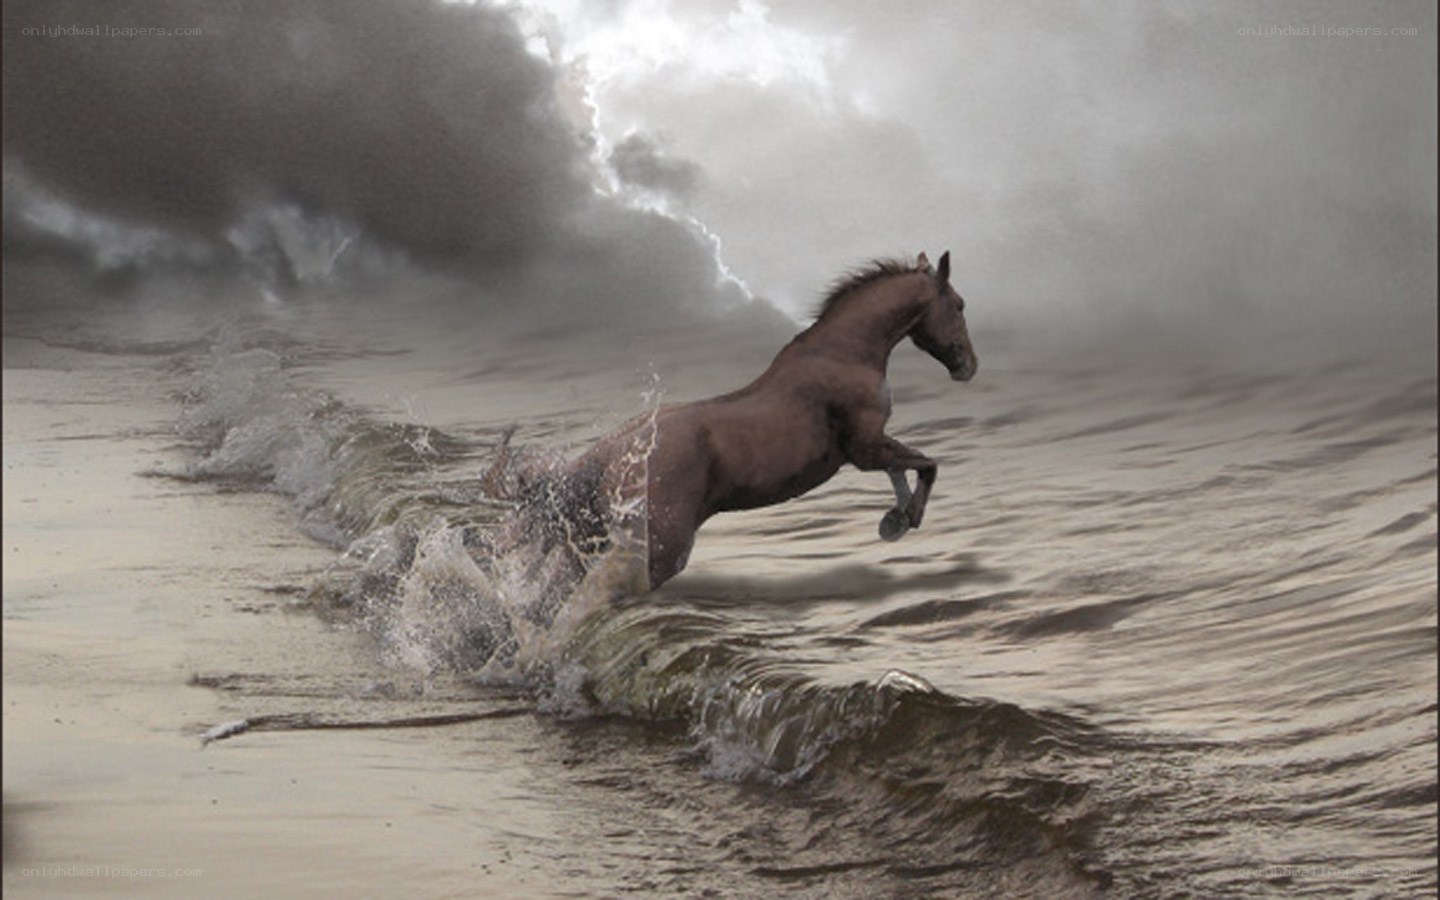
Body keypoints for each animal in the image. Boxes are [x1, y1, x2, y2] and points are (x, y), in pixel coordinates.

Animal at [486, 251, 978, 594]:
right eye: (959, 304)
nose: (968, 366)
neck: (845, 353)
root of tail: (611, 453)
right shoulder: (865, 447)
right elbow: (926, 464)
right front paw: (903, 520)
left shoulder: (871, 446)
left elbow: (906, 466)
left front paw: (893, 520)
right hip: (658, 549)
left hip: (590, 539)